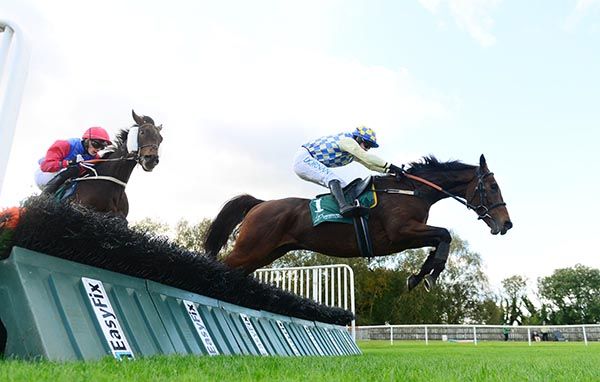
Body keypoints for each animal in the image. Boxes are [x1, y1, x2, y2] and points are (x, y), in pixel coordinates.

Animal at [205, 154, 510, 290]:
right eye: (493, 186)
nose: (506, 224)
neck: (411, 191)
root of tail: (259, 203)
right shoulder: (401, 233)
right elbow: (445, 234)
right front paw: (429, 276)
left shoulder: (410, 235)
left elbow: (440, 241)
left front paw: (419, 276)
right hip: (251, 248)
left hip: (265, 253)